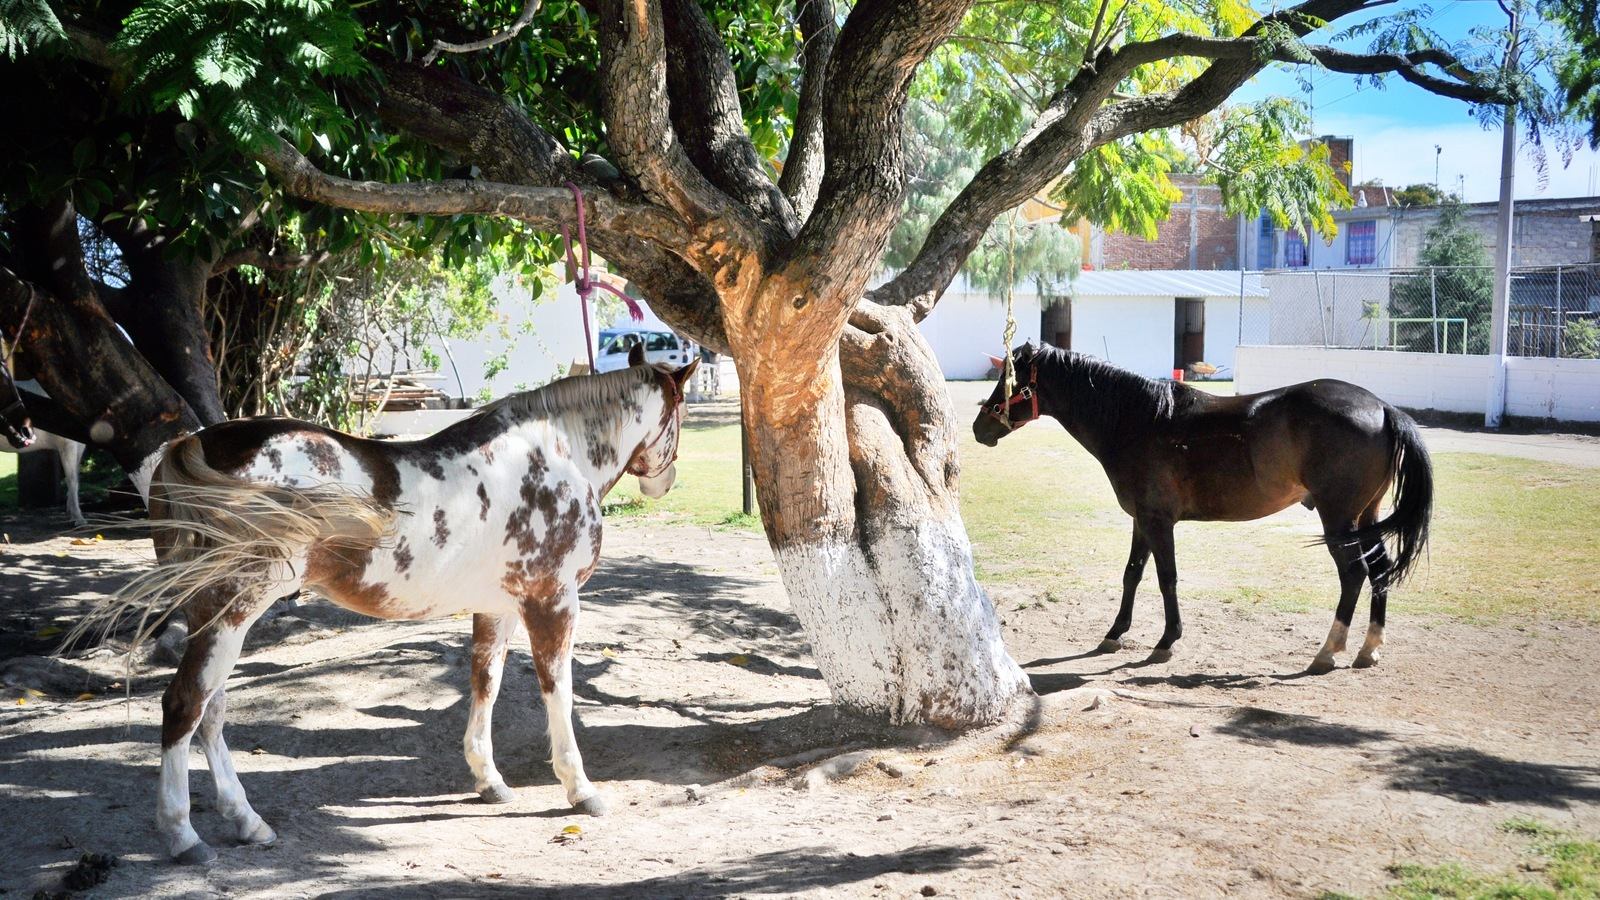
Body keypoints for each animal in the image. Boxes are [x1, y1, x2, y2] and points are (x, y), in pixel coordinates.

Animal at [95, 346, 696, 864]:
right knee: (185, 706)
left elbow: (486, 683)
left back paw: (248, 822)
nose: (667, 482)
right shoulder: (553, 603)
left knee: (211, 711)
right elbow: (558, 693)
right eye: (682, 414)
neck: (554, 455)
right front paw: (580, 789)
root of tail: (193, 446)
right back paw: (183, 836)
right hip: (232, 608)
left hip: (215, 615)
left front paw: (489, 780)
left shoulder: (498, 605)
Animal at [972, 342, 1432, 675]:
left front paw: (1166, 641)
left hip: (1338, 518)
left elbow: (1166, 579)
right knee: (1379, 570)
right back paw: (1369, 649)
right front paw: (1115, 634)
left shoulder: (1159, 522)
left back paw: (1328, 652)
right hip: (1365, 518)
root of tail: (1382, 408)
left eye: (1008, 380)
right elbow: (1132, 574)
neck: (1138, 420)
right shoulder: (1142, 520)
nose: (980, 428)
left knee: (1354, 574)